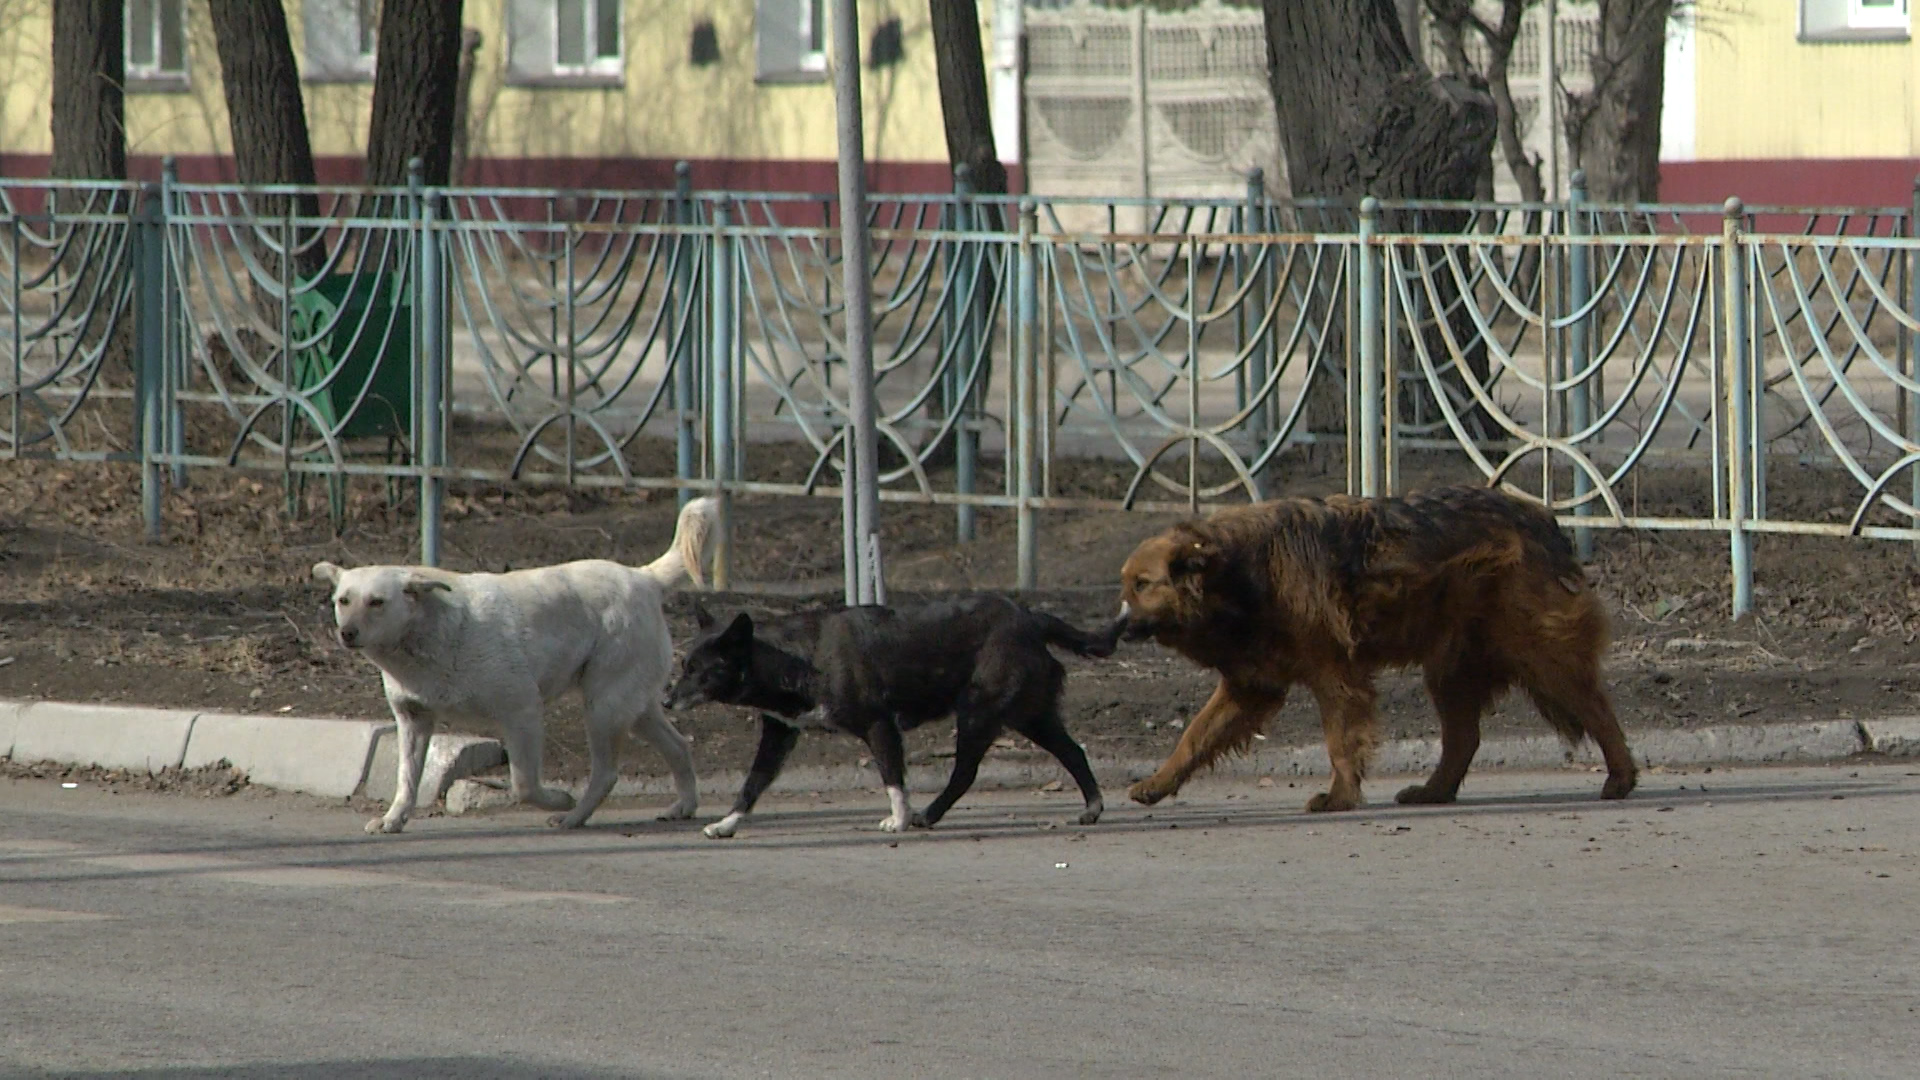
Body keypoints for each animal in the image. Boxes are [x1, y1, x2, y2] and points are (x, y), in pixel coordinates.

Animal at [314, 495, 721, 834]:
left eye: (377, 602)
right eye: (343, 600)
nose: (346, 633)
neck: (427, 634)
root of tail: (643, 577)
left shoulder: (523, 713)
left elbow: (524, 785)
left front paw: (558, 798)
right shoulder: (413, 721)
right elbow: (406, 780)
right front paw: (393, 819)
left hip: (604, 707)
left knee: (606, 772)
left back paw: (573, 816)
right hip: (633, 709)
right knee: (678, 746)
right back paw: (684, 805)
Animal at [668, 591, 1121, 837]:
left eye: (698, 670)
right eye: (684, 665)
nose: (667, 701)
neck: (796, 657)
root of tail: (1029, 616)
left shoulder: (879, 725)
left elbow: (892, 778)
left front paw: (898, 819)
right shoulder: (779, 734)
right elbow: (751, 785)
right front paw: (726, 825)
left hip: (981, 712)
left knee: (966, 772)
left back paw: (927, 815)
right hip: (1030, 714)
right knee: (1073, 752)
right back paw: (1093, 807)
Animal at [1121, 486, 1643, 807]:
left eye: (1143, 585)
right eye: (1126, 587)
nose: (1117, 627)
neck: (1237, 572)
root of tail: (1542, 518)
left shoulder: (1335, 675)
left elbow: (1339, 742)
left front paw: (1339, 797)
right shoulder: (1251, 686)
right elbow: (1194, 736)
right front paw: (1157, 782)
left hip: (1539, 650)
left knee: (1597, 709)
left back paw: (1620, 777)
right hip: (1451, 665)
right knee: (1463, 738)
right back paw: (1434, 791)